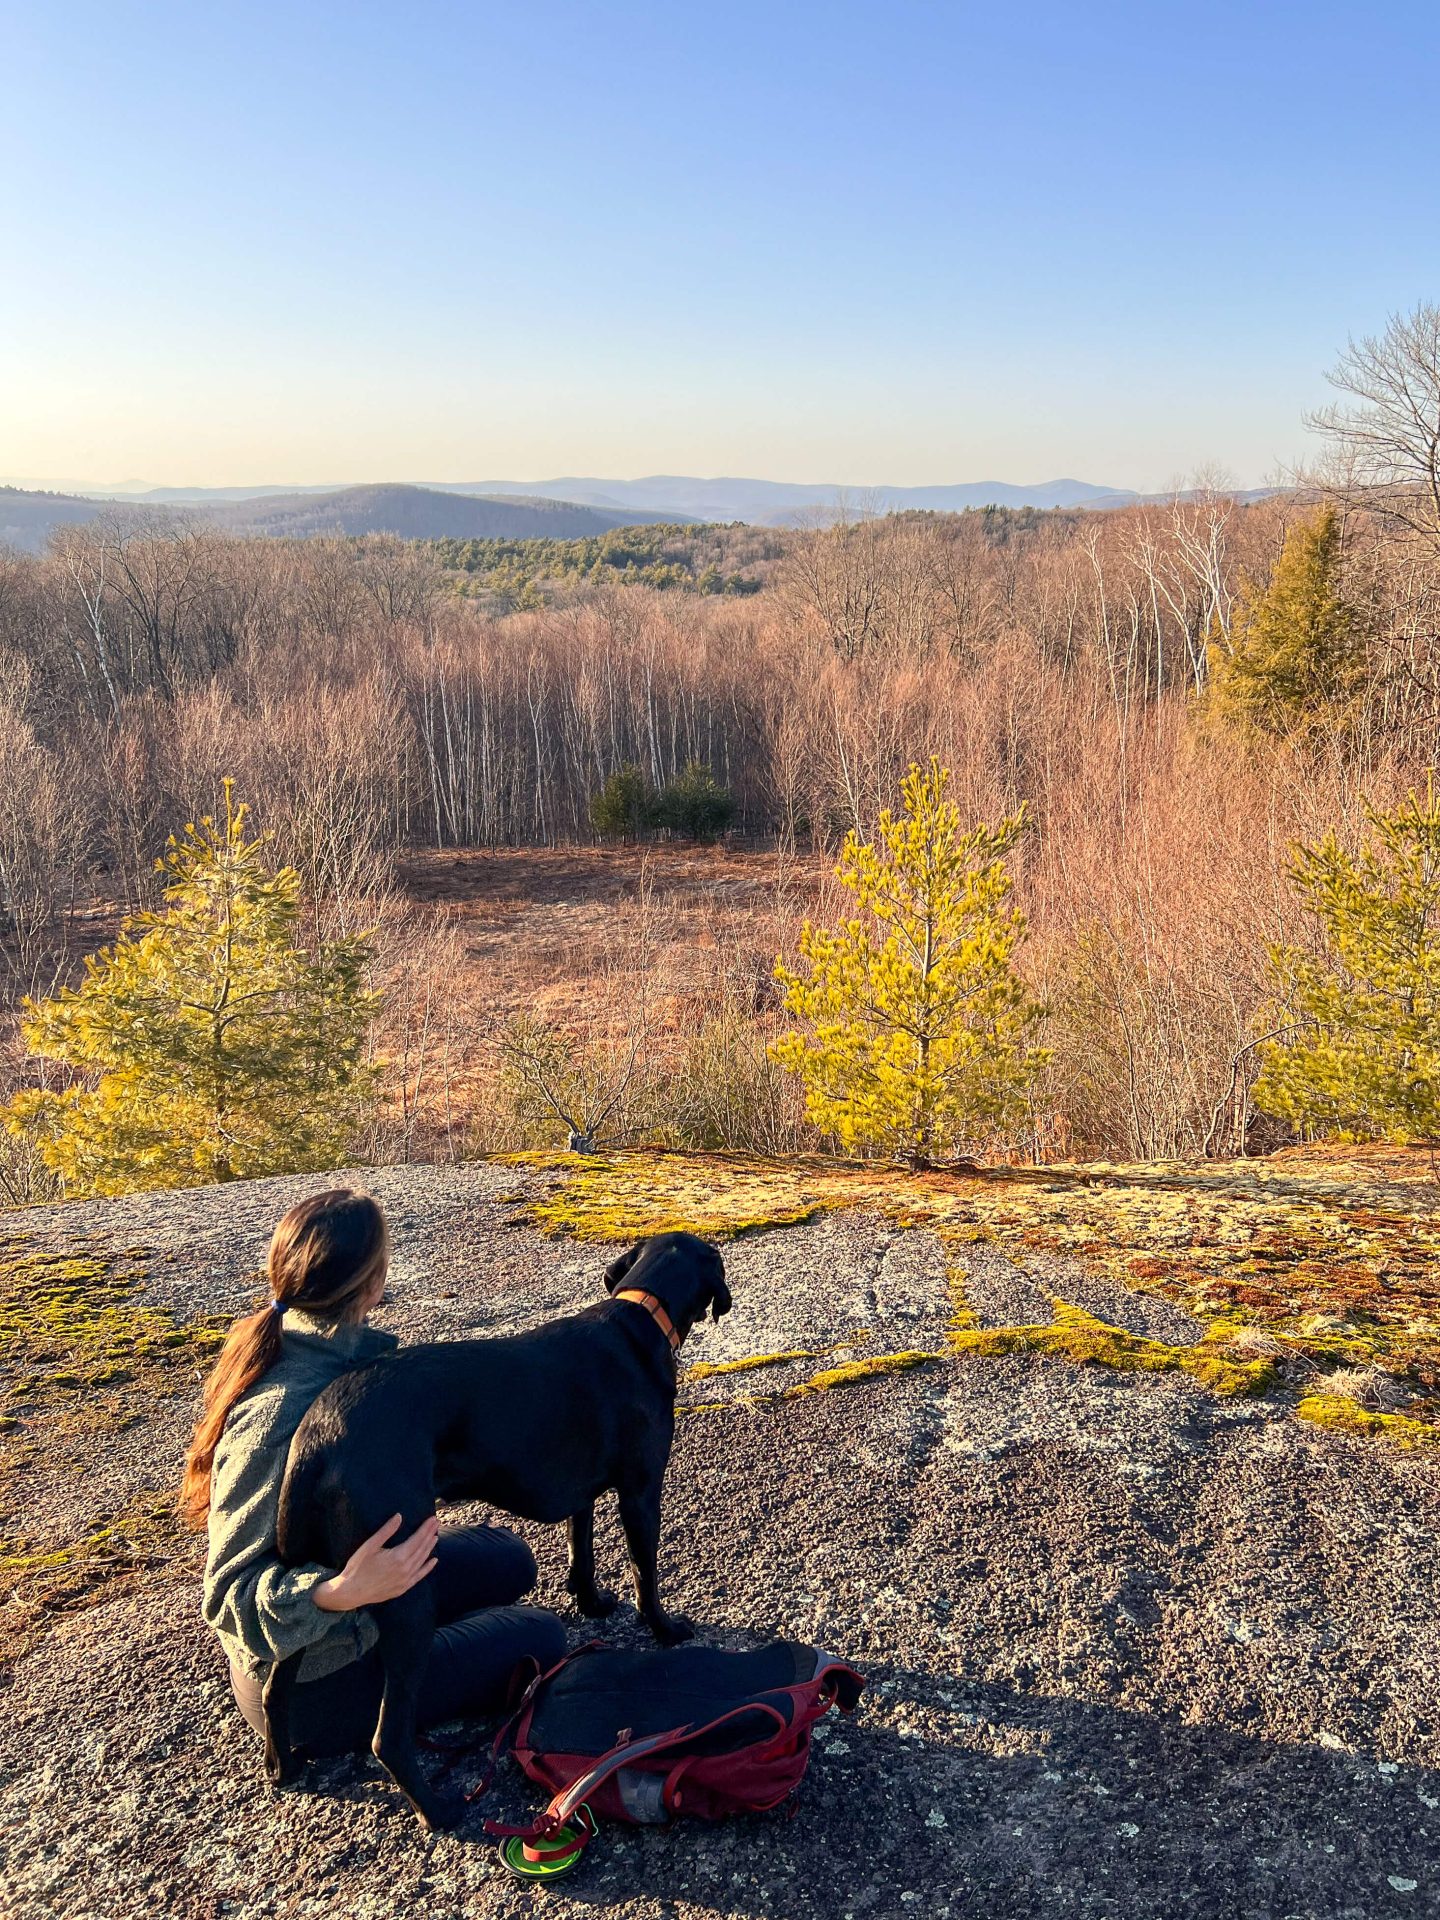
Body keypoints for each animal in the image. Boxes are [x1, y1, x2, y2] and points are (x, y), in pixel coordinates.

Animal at [264, 1228, 733, 1827]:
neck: (639, 1312)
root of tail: (318, 1435)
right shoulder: (640, 1493)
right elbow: (644, 1571)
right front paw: (664, 1628)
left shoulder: (582, 1491)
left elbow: (582, 1552)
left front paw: (592, 1603)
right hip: (406, 1593)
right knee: (387, 1737)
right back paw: (439, 1810)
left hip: (305, 1578)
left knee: (278, 1682)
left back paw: (284, 1765)